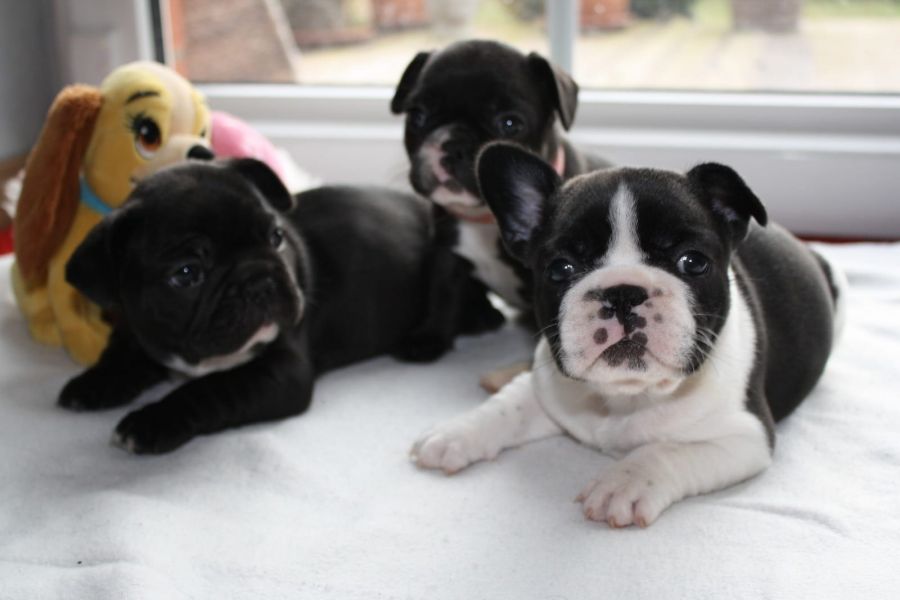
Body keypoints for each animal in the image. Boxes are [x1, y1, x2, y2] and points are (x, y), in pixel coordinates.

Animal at [58, 158, 490, 454]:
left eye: (275, 237)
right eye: (186, 273)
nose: (259, 279)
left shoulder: (280, 371)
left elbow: (209, 389)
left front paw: (151, 421)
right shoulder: (135, 331)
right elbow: (123, 357)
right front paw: (92, 383)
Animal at [391, 40, 610, 312]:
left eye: (509, 124)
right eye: (417, 116)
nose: (454, 145)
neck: (483, 220)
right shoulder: (448, 264)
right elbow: (442, 307)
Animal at [412, 142, 845, 528]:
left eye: (693, 262)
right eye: (560, 269)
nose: (623, 292)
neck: (625, 397)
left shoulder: (745, 436)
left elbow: (667, 450)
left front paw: (626, 483)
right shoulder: (546, 385)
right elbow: (507, 406)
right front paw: (456, 432)